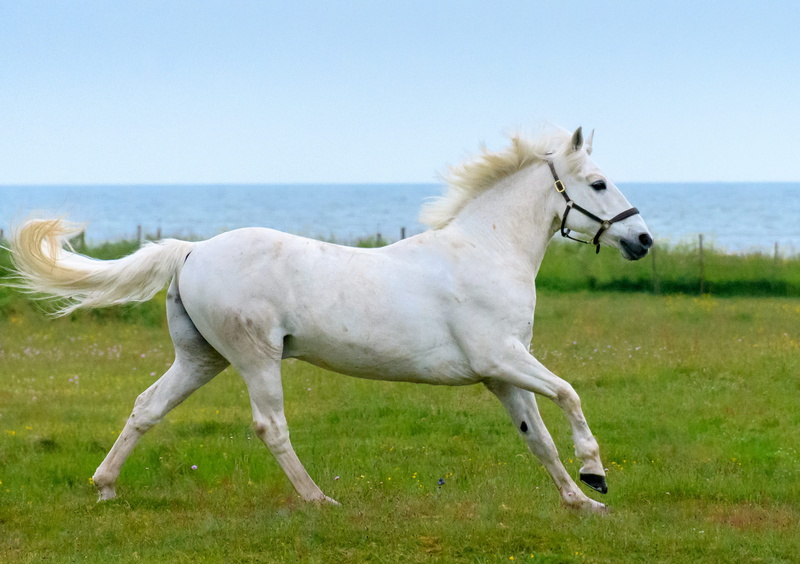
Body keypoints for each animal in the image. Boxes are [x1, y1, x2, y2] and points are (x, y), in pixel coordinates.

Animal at [8, 126, 652, 513]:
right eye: (598, 183)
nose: (642, 239)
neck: (487, 252)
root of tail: (192, 250)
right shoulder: (502, 358)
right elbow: (568, 394)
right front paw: (595, 473)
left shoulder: (501, 374)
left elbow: (536, 438)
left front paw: (583, 502)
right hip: (255, 358)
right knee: (271, 427)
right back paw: (318, 500)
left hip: (200, 359)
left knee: (147, 408)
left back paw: (106, 487)